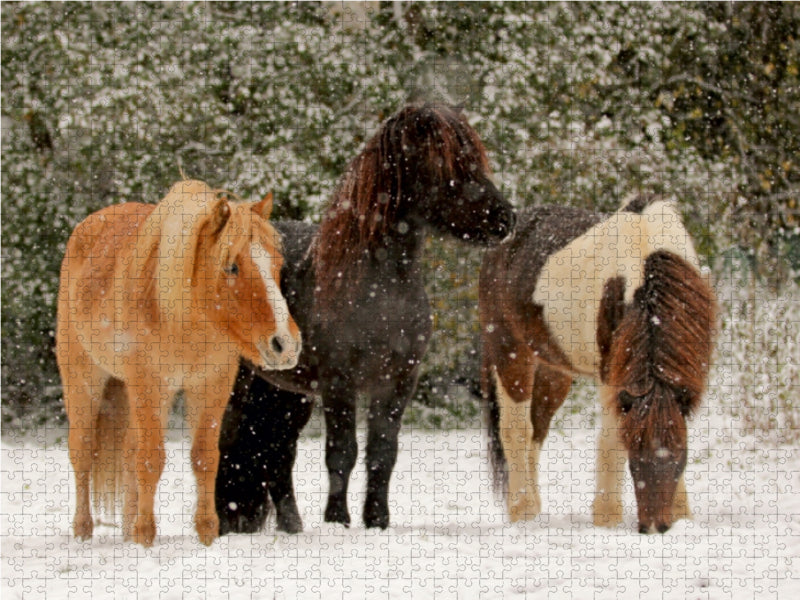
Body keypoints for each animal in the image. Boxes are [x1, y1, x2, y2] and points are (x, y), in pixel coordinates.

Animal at [56, 179, 302, 547]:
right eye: (231, 266)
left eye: (277, 263)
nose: (286, 344)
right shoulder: (150, 385)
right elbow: (150, 459)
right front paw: (146, 537)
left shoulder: (211, 386)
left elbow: (204, 458)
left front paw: (206, 535)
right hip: (85, 381)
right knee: (83, 452)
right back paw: (84, 532)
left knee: (127, 451)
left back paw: (126, 531)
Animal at [216, 103, 516, 534]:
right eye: (442, 162)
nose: (505, 219)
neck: (379, 293)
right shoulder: (339, 382)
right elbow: (342, 452)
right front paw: (337, 520)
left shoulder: (397, 382)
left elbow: (382, 451)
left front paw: (376, 520)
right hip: (240, 384)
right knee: (227, 444)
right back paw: (225, 525)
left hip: (286, 392)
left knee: (277, 454)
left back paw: (292, 528)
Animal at [479, 196, 717, 534]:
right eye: (634, 458)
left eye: (679, 458)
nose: (654, 528)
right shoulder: (611, 375)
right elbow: (610, 440)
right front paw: (607, 516)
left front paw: (682, 514)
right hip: (509, 351)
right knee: (516, 432)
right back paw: (522, 511)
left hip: (554, 372)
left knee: (536, 432)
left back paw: (534, 511)